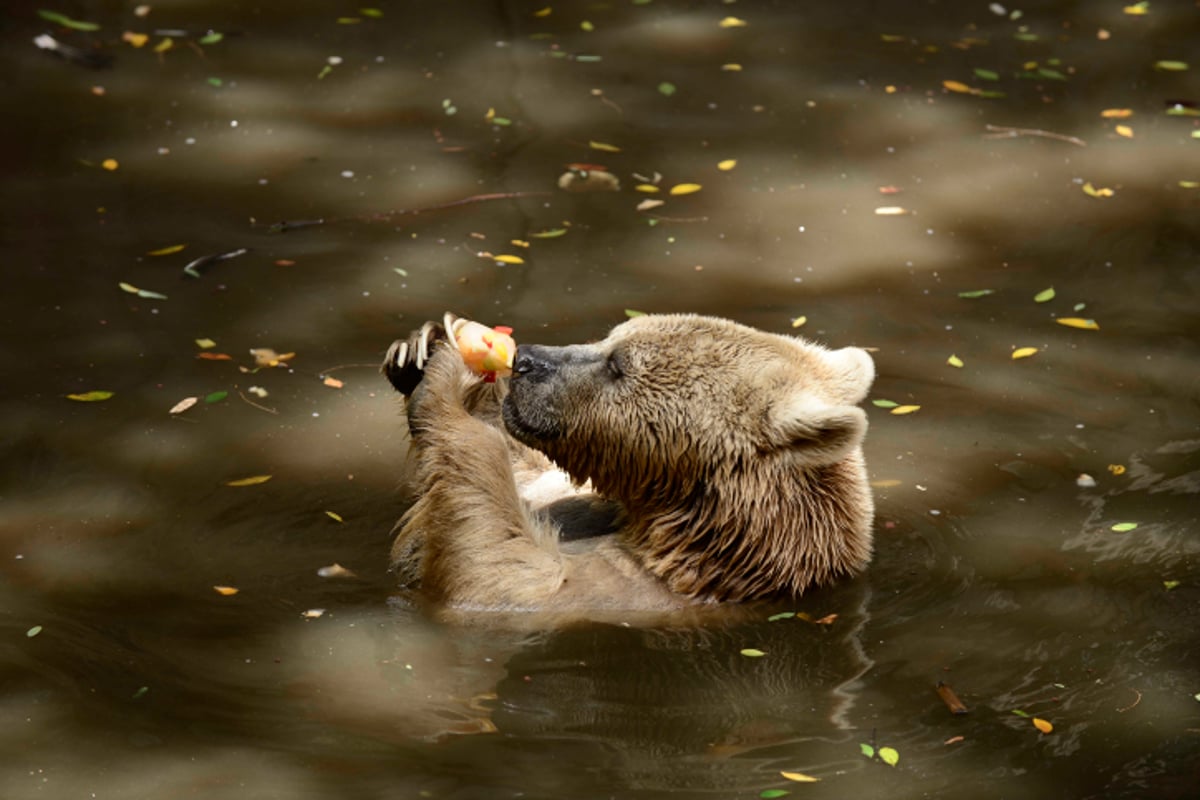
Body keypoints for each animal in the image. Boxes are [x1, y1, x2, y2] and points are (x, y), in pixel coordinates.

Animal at [381, 311, 873, 618]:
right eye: (610, 337)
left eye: (617, 365)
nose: (527, 360)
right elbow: (528, 483)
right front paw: (418, 349)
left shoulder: (625, 591)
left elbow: (494, 567)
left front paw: (446, 376)